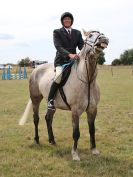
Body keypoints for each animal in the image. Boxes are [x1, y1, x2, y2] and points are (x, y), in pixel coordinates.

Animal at [19, 30, 109, 160]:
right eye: (90, 35)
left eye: (101, 33)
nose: (104, 39)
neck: (87, 80)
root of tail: (37, 68)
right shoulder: (75, 111)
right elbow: (76, 133)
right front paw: (75, 154)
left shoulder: (92, 109)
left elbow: (92, 130)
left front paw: (94, 150)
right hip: (36, 99)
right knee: (36, 119)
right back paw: (36, 140)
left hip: (52, 104)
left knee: (48, 118)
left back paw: (52, 140)